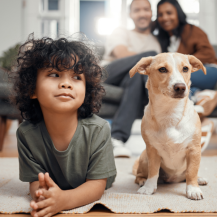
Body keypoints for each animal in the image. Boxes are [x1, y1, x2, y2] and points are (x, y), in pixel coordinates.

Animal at [131, 52, 209, 200]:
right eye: (162, 69)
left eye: (185, 68)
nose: (180, 87)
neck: (170, 113)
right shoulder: (152, 150)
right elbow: (153, 171)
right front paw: (149, 188)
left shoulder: (194, 150)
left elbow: (191, 172)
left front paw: (193, 189)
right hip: (144, 158)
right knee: (139, 175)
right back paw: (143, 181)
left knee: (188, 174)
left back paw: (200, 179)